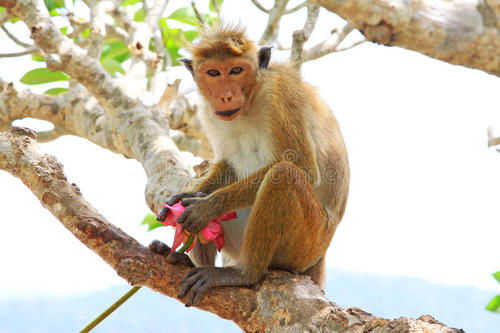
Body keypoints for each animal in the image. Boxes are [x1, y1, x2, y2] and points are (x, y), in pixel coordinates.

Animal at [150, 24, 350, 306]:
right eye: (213, 73)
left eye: (236, 70)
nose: (225, 95)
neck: (252, 98)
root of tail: (320, 257)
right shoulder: (208, 112)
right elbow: (228, 165)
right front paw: (189, 194)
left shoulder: (280, 95)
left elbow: (302, 167)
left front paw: (207, 207)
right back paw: (184, 260)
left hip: (306, 245)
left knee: (285, 175)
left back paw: (245, 274)